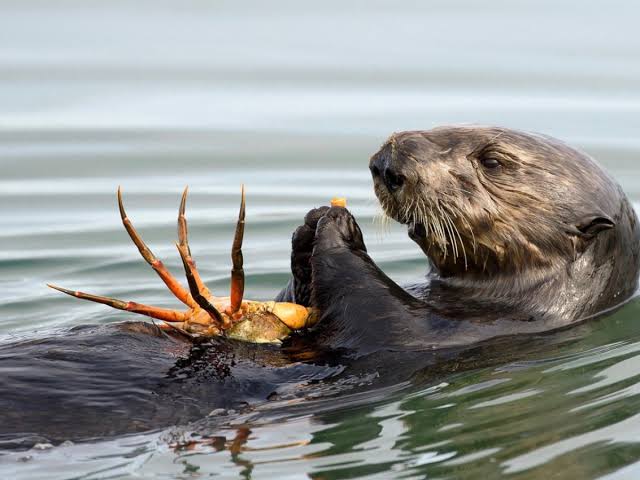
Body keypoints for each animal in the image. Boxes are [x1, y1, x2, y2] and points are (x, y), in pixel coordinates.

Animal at [1, 126, 638, 448]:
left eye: (495, 161)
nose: (387, 160)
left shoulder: (443, 340)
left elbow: (376, 317)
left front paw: (336, 229)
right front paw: (308, 226)